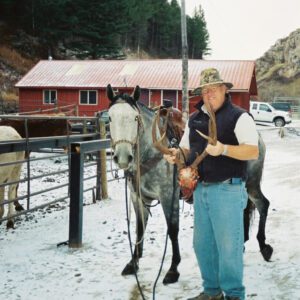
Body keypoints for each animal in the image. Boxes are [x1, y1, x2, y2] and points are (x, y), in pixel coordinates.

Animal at [106, 84, 180, 284]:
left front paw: (173, 269)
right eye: (110, 117)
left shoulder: (169, 196)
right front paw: (133, 263)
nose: (123, 157)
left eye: (135, 118)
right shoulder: (137, 197)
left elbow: (173, 230)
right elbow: (139, 229)